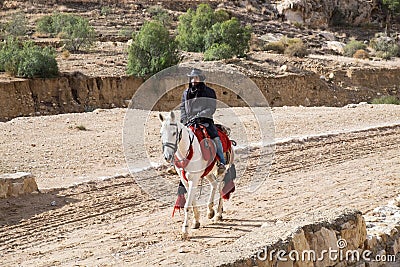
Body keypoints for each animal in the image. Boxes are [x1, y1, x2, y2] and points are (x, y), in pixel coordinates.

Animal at [159, 111, 234, 239]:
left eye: (174, 133)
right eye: (161, 133)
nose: (167, 156)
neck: (187, 151)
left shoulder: (194, 179)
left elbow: (187, 205)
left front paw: (185, 230)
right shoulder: (186, 180)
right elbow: (192, 201)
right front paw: (196, 221)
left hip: (222, 170)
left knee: (220, 187)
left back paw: (218, 213)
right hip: (208, 173)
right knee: (214, 185)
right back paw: (210, 211)